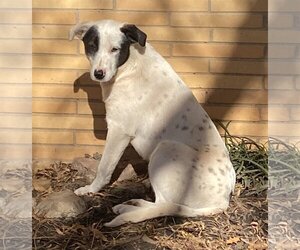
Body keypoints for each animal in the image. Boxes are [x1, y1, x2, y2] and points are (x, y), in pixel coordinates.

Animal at [69, 19, 236, 227]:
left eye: (115, 49)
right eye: (92, 46)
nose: (99, 73)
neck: (129, 65)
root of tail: (223, 199)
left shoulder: (119, 131)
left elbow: (104, 167)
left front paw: (91, 189)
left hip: (166, 147)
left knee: (163, 204)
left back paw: (129, 209)